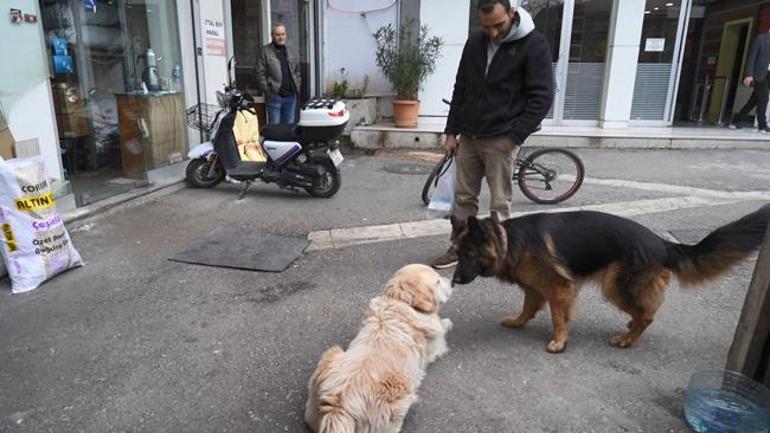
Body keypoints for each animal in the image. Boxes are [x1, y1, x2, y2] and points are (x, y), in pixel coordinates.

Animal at [304, 264, 452, 432]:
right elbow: (442, 329)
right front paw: (446, 322)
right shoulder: (435, 347)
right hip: (402, 391)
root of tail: (339, 408)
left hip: (330, 355)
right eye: (438, 281)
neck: (400, 300)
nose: (451, 281)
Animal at [450, 204, 768, 352]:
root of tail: (661, 243)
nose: (454, 281)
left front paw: (559, 341)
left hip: (614, 286)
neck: (508, 241)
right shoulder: (537, 287)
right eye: (456, 253)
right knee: (644, 312)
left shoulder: (559, 288)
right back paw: (630, 326)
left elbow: (557, 317)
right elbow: (528, 307)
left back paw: (627, 339)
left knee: (647, 315)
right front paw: (518, 322)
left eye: (468, 254)